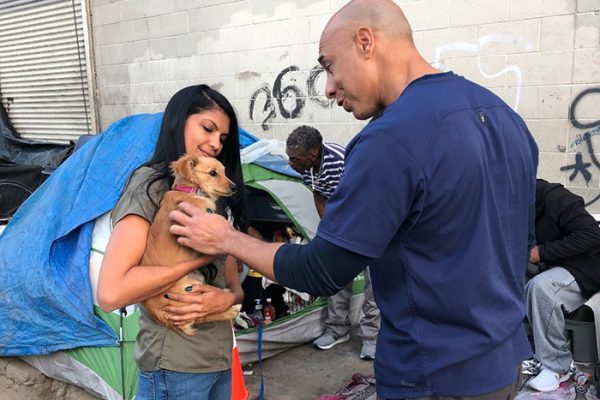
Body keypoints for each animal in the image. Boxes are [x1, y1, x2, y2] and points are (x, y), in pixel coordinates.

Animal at [141, 155, 241, 336]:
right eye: (213, 173)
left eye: (224, 171)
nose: (235, 187)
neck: (190, 191)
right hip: (188, 290)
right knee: (200, 314)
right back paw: (232, 310)